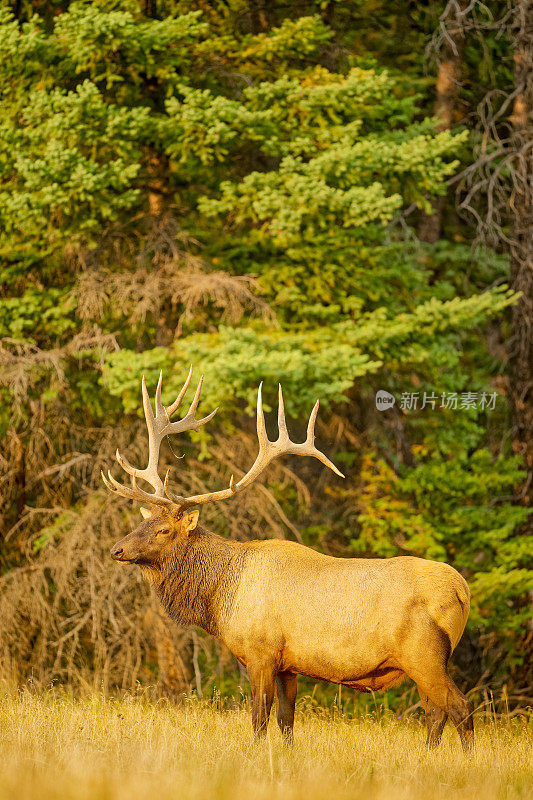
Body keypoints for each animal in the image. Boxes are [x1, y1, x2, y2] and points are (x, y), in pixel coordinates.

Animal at [104, 368, 474, 752]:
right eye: (143, 521)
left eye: (163, 529)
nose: (117, 549)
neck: (220, 598)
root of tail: (462, 591)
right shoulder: (288, 666)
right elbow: (286, 721)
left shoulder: (261, 652)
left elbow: (259, 718)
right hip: (425, 662)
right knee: (436, 712)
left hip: (424, 654)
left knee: (460, 707)